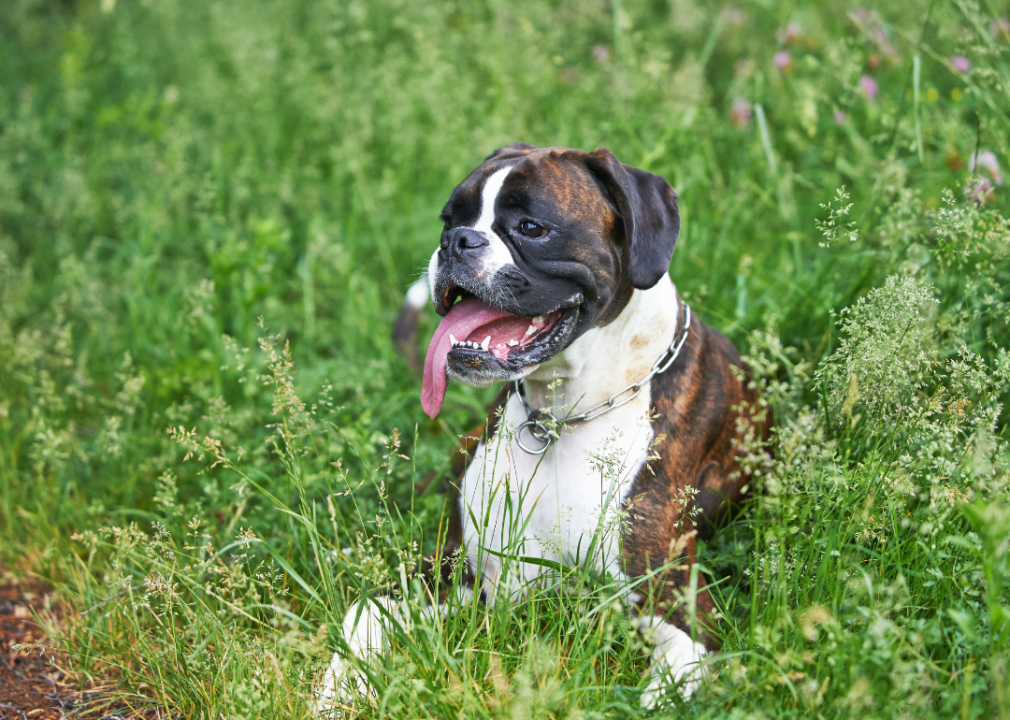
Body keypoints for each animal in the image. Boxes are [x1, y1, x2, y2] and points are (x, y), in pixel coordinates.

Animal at [315, 143, 763, 710]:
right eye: (449, 220)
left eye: (531, 227)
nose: (454, 242)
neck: (560, 416)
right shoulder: (460, 570)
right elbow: (365, 614)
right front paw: (336, 693)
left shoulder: (676, 609)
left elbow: (665, 688)